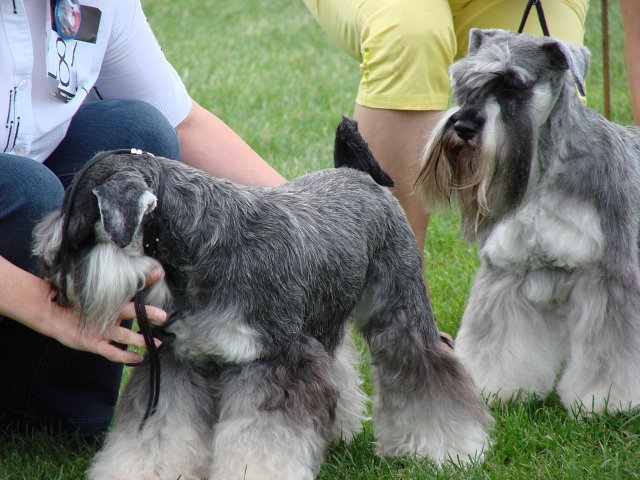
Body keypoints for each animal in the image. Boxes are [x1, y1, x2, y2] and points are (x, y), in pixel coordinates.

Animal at [33, 117, 490, 480]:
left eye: (78, 230)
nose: (51, 276)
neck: (204, 244)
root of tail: (357, 174)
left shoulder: (277, 362)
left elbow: (264, 440)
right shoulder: (180, 360)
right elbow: (161, 433)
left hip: (398, 310)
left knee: (424, 367)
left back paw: (451, 446)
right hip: (324, 319)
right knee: (338, 365)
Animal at [418, 28, 640, 414]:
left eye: (513, 85)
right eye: (463, 81)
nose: (462, 126)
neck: (542, 170)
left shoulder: (608, 274)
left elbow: (609, 350)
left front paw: (605, 399)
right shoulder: (508, 271)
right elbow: (497, 341)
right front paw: (494, 388)